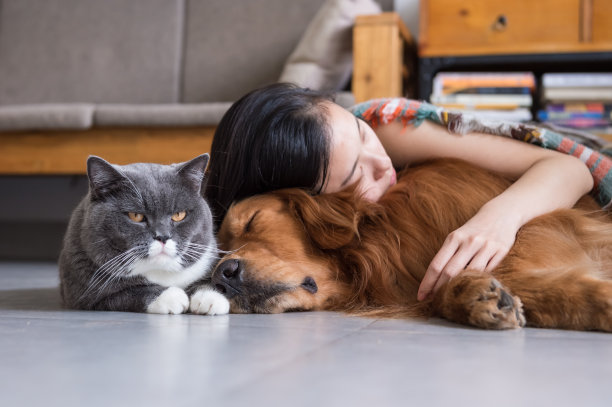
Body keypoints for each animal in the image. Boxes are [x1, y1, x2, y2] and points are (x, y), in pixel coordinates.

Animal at [58, 155, 230, 318]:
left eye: (179, 215)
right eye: (136, 216)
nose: (163, 236)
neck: (161, 270)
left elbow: (208, 279)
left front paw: (210, 298)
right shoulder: (86, 296)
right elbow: (129, 292)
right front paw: (171, 296)